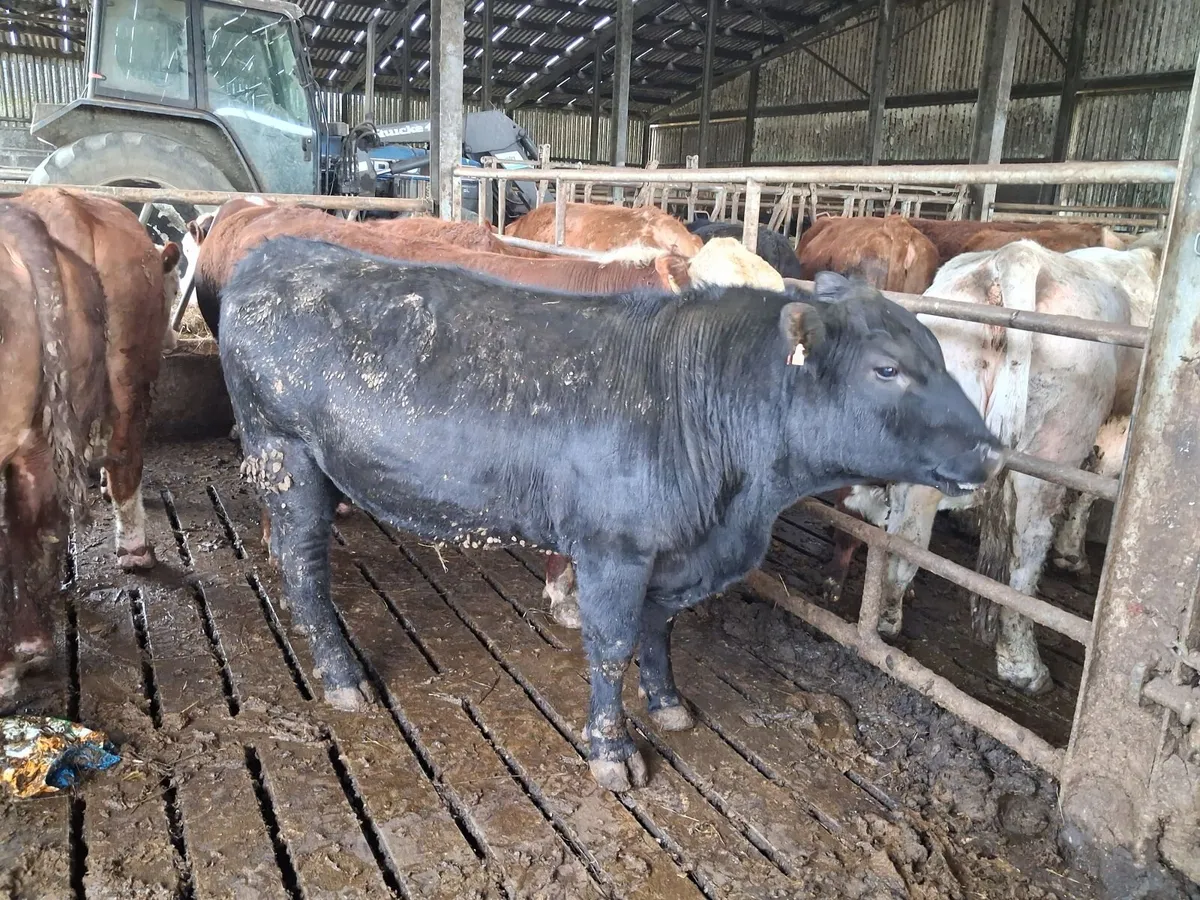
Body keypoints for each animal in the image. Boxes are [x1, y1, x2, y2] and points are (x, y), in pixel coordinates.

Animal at [218, 235, 1003, 791]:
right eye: (886, 369)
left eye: (941, 355)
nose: (993, 451)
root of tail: (278, 251)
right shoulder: (612, 550)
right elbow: (612, 645)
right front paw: (613, 749)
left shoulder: (672, 551)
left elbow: (659, 631)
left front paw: (668, 703)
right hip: (285, 454)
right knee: (303, 566)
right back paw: (341, 676)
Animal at [849, 239, 1160, 695]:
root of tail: (1014, 256)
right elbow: (1091, 487)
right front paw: (1073, 555)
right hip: (1052, 447)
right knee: (1026, 553)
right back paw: (1024, 665)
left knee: (908, 534)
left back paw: (887, 616)